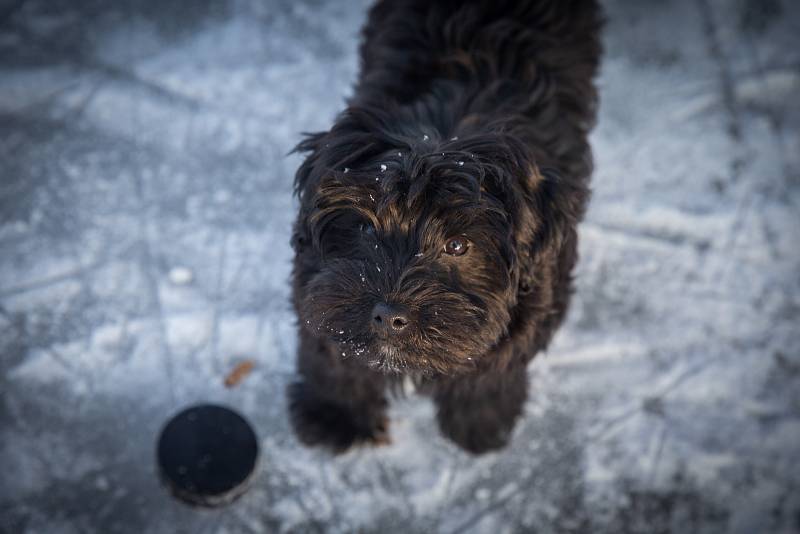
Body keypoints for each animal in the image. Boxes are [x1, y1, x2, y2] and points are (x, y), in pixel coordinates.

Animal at [288, 0, 600, 454]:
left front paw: (481, 425)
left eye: (457, 245)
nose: (389, 316)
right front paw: (335, 418)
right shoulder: (314, 287)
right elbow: (331, 354)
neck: (447, 122)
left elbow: (494, 370)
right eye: (364, 228)